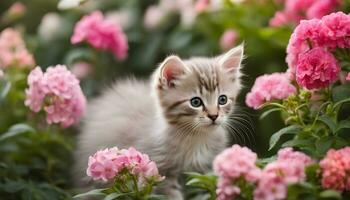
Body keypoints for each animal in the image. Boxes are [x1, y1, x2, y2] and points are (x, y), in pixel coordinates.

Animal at [74, 44, 243, 199]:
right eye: (195, 102)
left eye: (222, 99)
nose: (214, 116)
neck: (197, 138)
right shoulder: (161, 171)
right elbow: (171, 195)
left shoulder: (204, 173)